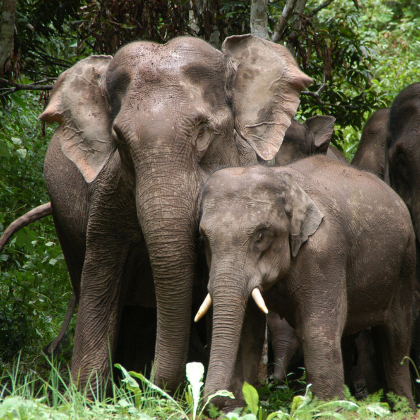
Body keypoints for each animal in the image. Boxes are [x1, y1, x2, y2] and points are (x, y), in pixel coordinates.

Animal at [38, 35, 312, 394]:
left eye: (203, 132)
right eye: (120, 141)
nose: (149, 385)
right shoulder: (108, 200)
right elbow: (99, 288)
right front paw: (86, 395)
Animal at [198, 155, 416, 410]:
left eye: (261, 235)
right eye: (204, 238)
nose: (216, 399)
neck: (284, 180)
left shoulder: (324, 253)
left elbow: (316, 327)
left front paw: (328, 410)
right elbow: (248, 332)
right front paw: (237, 410)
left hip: (406, 260)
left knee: (396, 336)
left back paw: (404, 408)